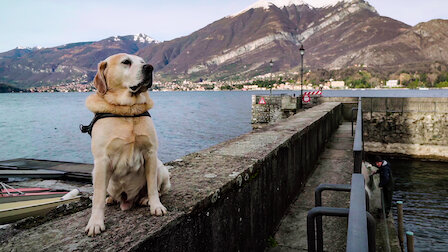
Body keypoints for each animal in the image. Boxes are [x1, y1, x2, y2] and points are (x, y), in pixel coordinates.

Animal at [83, 53, 170, 236]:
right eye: (126, 62)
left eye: (143, 62)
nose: (149, 67)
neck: (127, 111)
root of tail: (127, 200)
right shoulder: (102, 160)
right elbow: (97, 197)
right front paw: (95, 222)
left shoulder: (150, 153)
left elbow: (152, 186)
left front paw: (156, 206)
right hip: (96, 173)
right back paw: (110, 199)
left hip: (160, 167)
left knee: (157, 188)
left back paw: (144, 199)